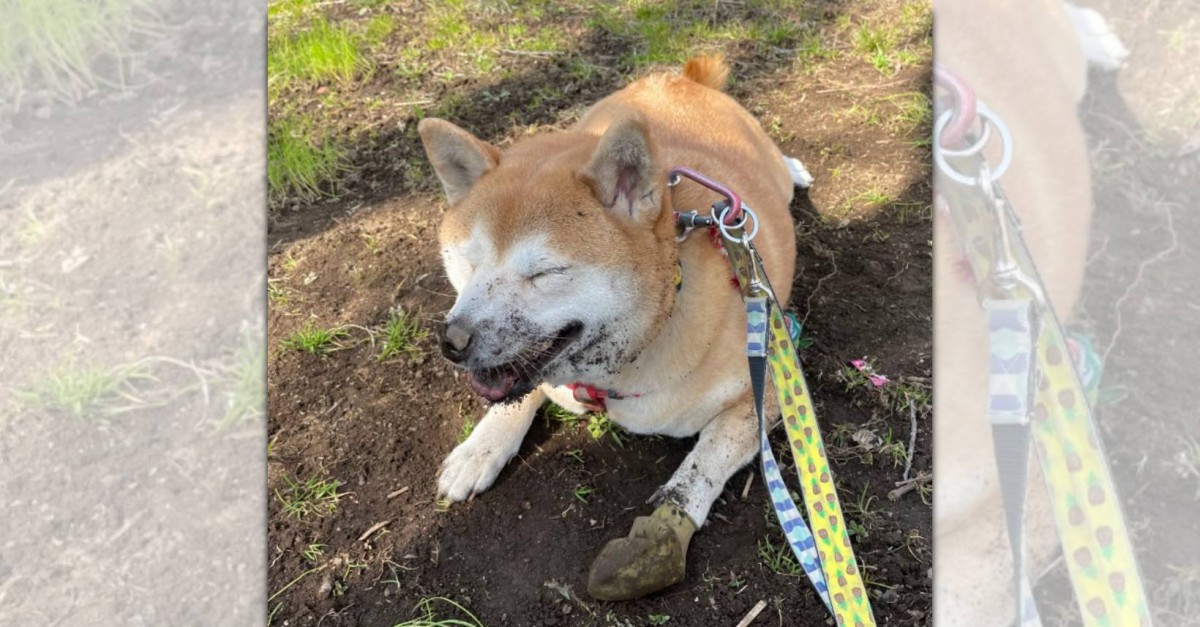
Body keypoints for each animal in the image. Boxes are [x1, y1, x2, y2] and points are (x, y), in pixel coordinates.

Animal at [420, 56, 796, 598]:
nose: (452, 342)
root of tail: (679, 79)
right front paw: (481, 447)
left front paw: (671, 516)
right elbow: (520, 397)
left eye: (545, 274)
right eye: (469, 263)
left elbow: (705, 460)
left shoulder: (768, 391)